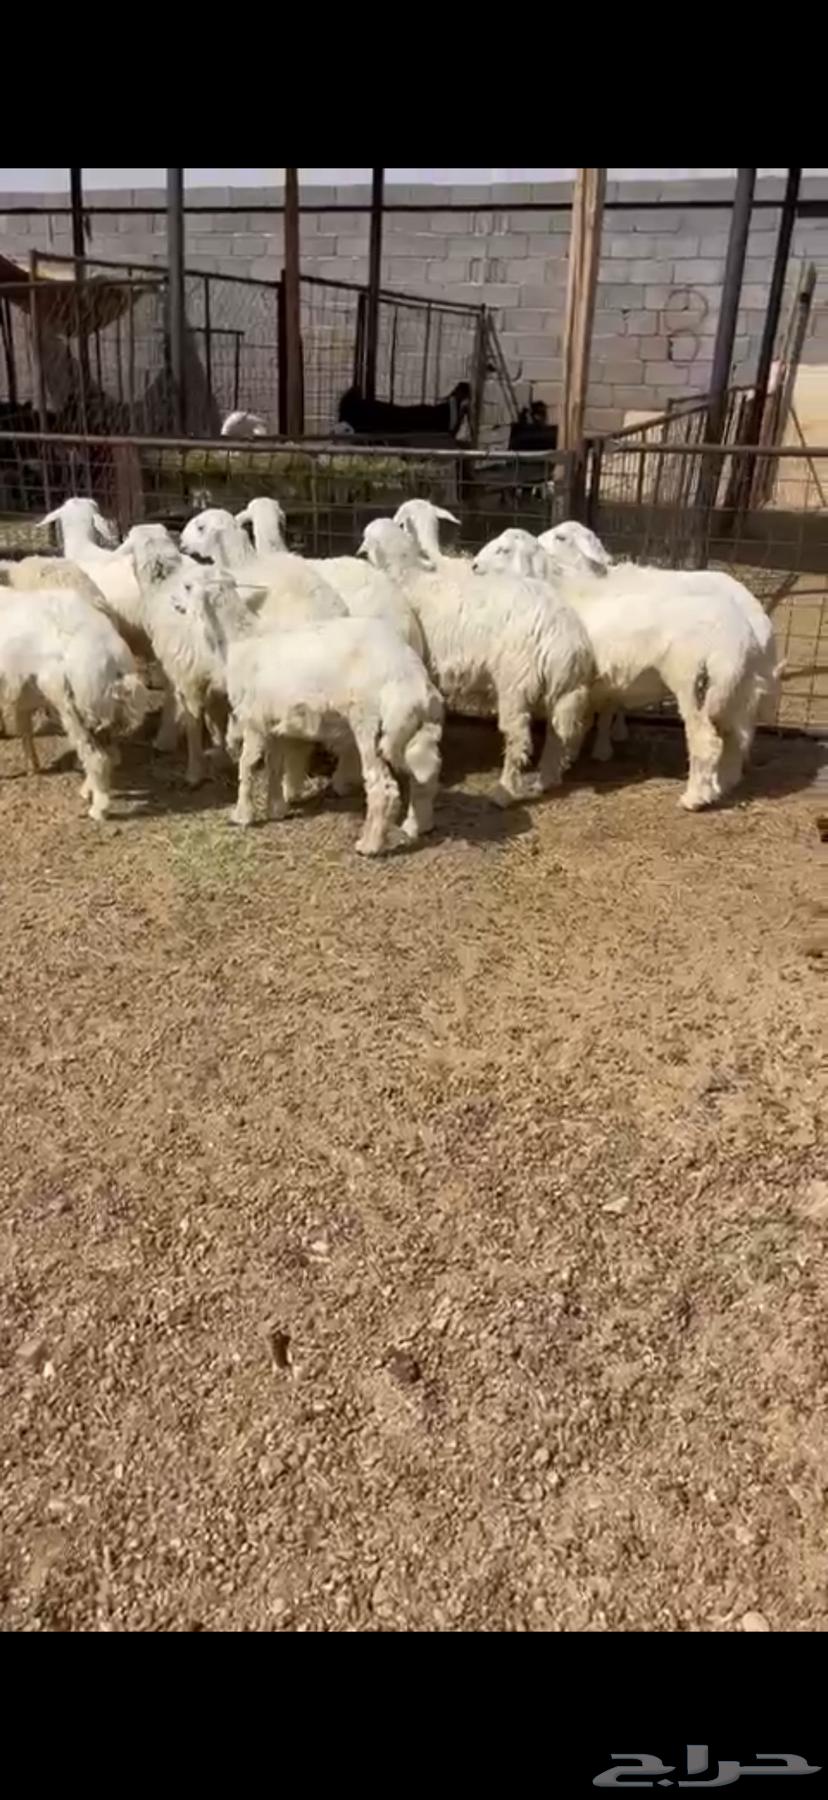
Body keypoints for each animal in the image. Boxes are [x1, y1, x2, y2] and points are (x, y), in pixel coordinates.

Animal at [0, 588, 149, 819]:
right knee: (108, 753)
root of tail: (114, 662)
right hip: (100, 710)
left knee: (97, 757)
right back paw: (89, 791)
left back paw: (98, 809)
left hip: (72, 704)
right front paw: (32, 767)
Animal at [167, 564, 444, 854]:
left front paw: (242, 815)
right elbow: (275, 764)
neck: (241, 642)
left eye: (187, 586)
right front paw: (276, 808)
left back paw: (369, 845)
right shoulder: (274, 722)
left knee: (383, 787)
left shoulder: (253, 719)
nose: (172, 602)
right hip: (417, 729)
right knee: (426, 775)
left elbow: (247, 765)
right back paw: (417, 826)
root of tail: (415, 682)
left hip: (369, 725)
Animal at [358, 517, 595, 806]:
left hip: (515, 680)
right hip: (564, 688)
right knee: (557, 734)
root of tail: (562, 635)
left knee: (518, 738)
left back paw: (504, 792)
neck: (410, 577)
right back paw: (546, 779)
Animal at [472, 527, 772, 810]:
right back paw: (724, 784)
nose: (474, 566)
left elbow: (556, 732)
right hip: (737, 689)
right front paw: (567, 761)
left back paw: (695, 798)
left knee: (707, 743)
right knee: (738, 738)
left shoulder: (563, 681)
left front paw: (546, 777)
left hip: (693, 684)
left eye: (504, 550)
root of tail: (740, 635)